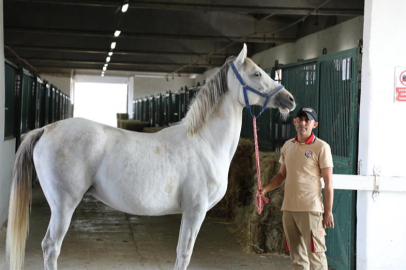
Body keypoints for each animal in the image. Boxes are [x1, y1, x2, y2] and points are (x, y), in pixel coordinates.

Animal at [6, 43, 294, 268]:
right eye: (256, 73)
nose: (289, 100)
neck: (204, 142)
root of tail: (46, 129)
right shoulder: (195, 211)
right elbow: (184, 254)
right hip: (64, 205)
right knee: (51, 247)